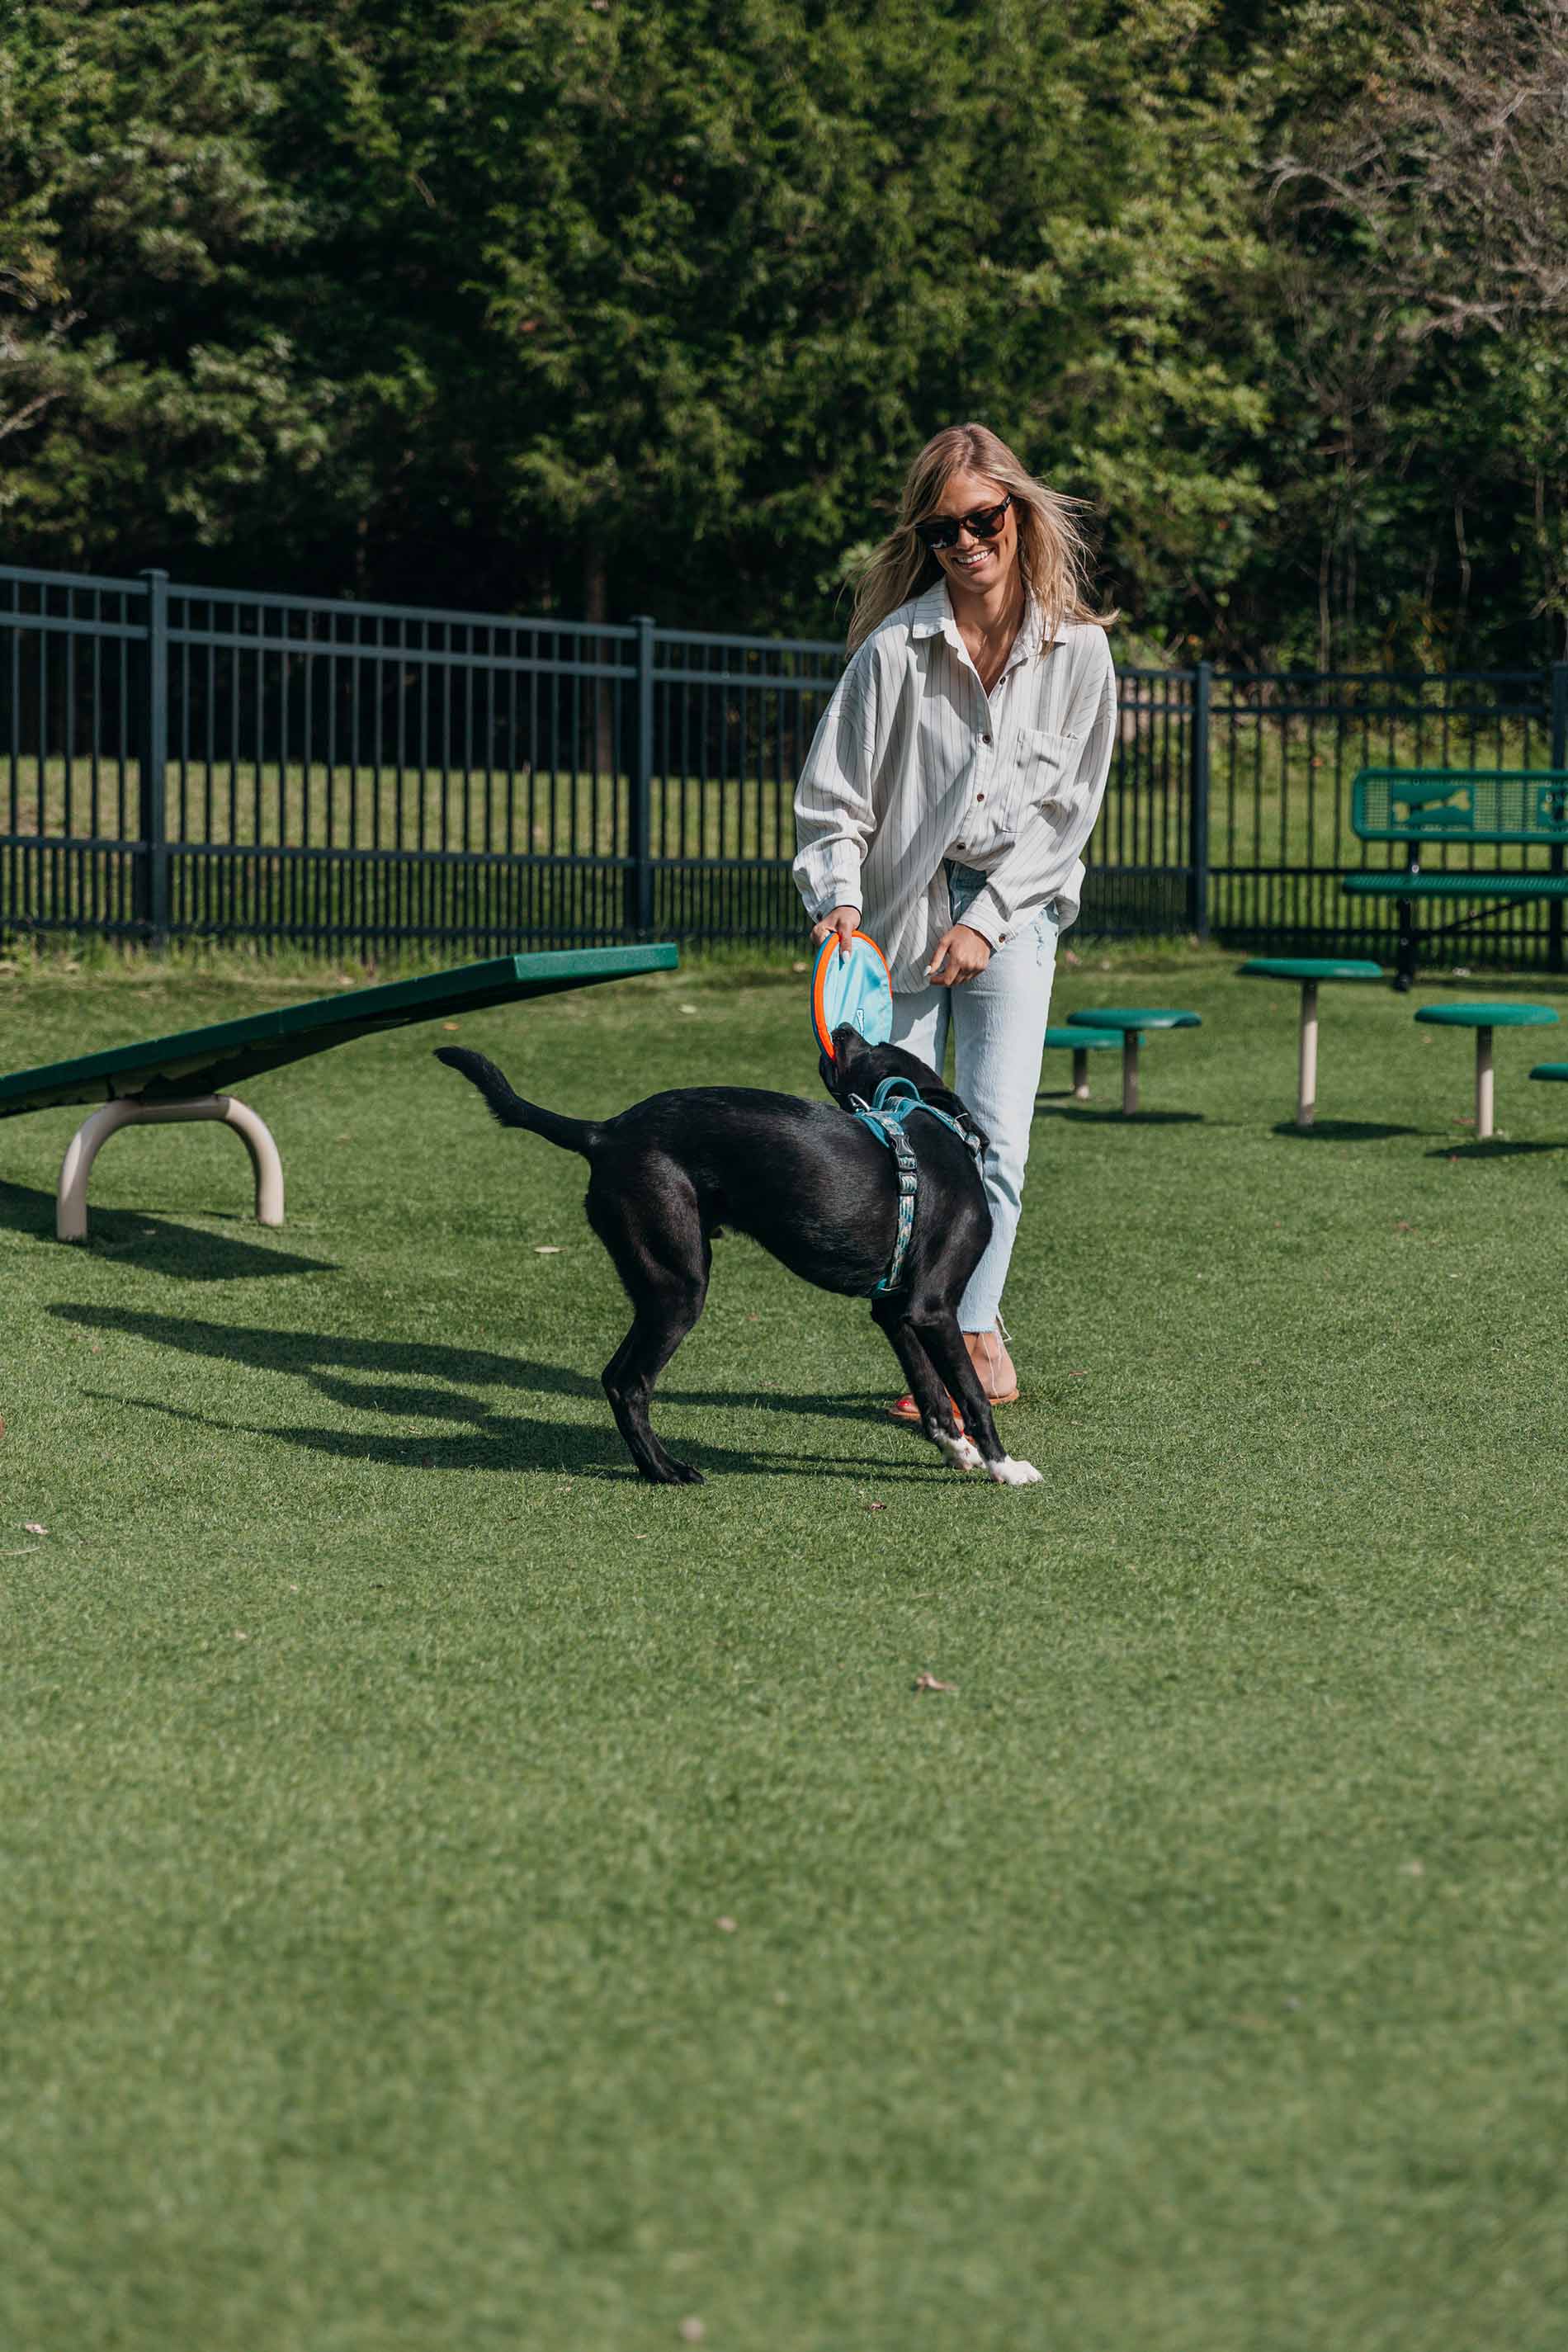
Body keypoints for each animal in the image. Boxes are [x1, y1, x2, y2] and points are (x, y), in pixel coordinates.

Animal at [434, 1030, 1043, 1486]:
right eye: (871, 1042)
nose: (845, 1026)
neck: (935, 1123)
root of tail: (603, 1132)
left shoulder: (896, 1310)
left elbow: (931, 1390)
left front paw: (956, 1450)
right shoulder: (933, 1308)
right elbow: (970, 1392)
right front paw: (1005, 1465)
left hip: (658, 1286)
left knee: (613, 1378)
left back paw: (653, 1466)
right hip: (680, 1286)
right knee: (630, 1383)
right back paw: (667, 1471)